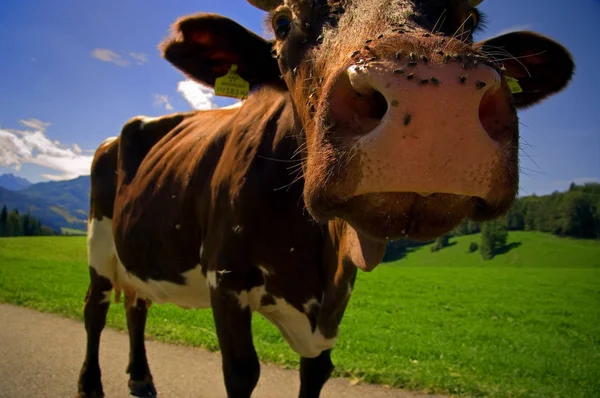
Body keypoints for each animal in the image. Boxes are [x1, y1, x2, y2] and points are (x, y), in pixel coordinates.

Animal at [77, 0, 576, 396]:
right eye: (283, 22)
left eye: (469, 19)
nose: (434, 106)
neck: (315, 252)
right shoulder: (226, 276)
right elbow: (241, 372)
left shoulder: (337, 300)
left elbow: (316, 372)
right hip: (100, 244)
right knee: (95, 310)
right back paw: (91, 383)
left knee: (137, 306)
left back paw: (141, 377)